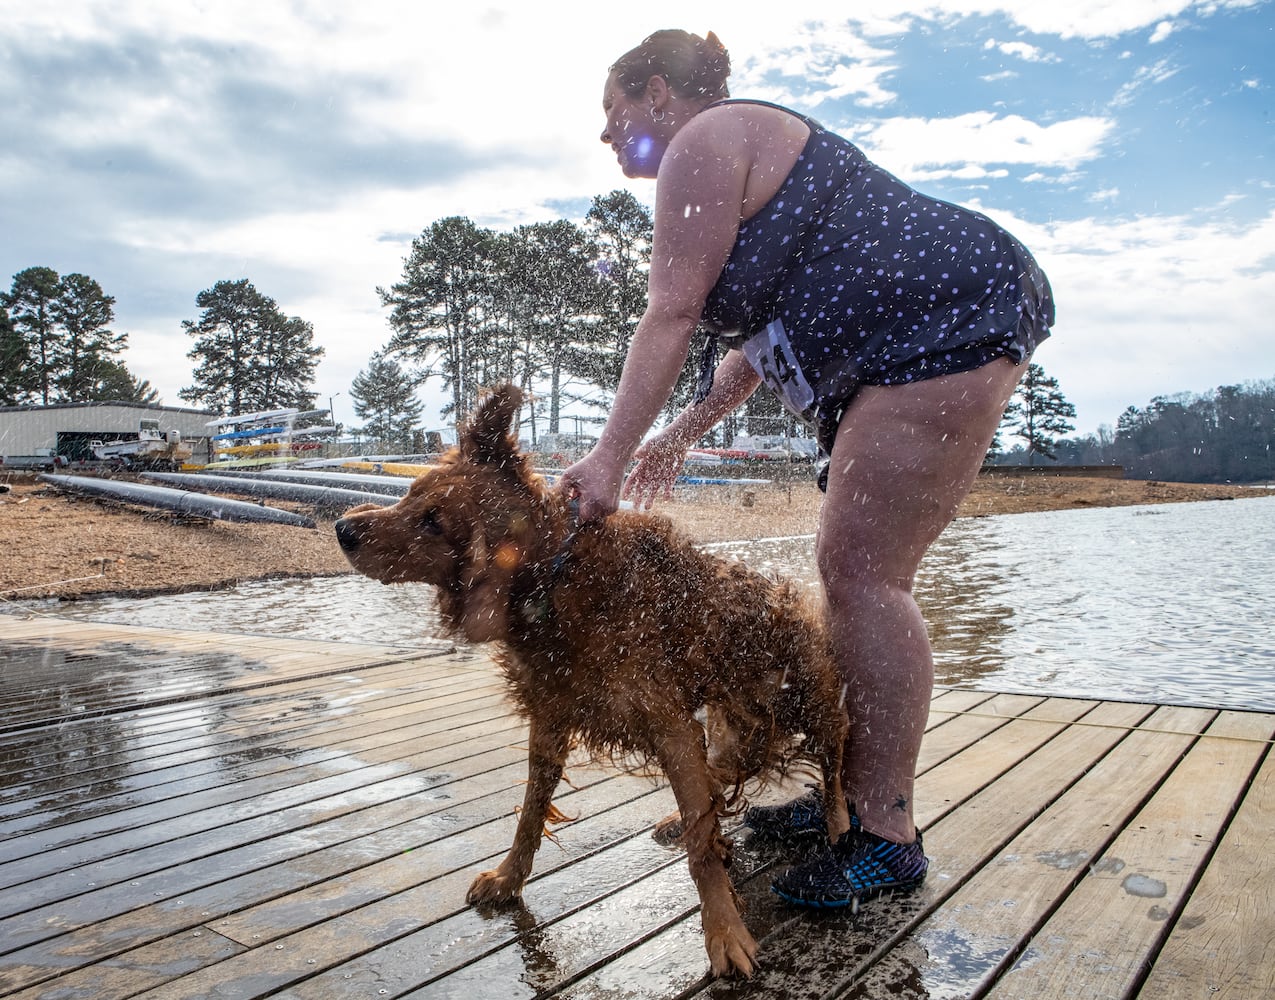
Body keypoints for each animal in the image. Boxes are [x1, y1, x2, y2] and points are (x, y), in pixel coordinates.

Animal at [334, 385, 846, 974]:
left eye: (434, 522)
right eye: (410, 494)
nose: (343, 528)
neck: (551, 584)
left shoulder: (671, 727)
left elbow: (700, 848)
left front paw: (724, 931)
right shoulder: (550, 718)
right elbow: (531, 813)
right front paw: (508, 878)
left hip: (812, 704)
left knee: (834, 771)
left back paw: (841, 830)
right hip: (731, 725)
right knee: (720, 776)